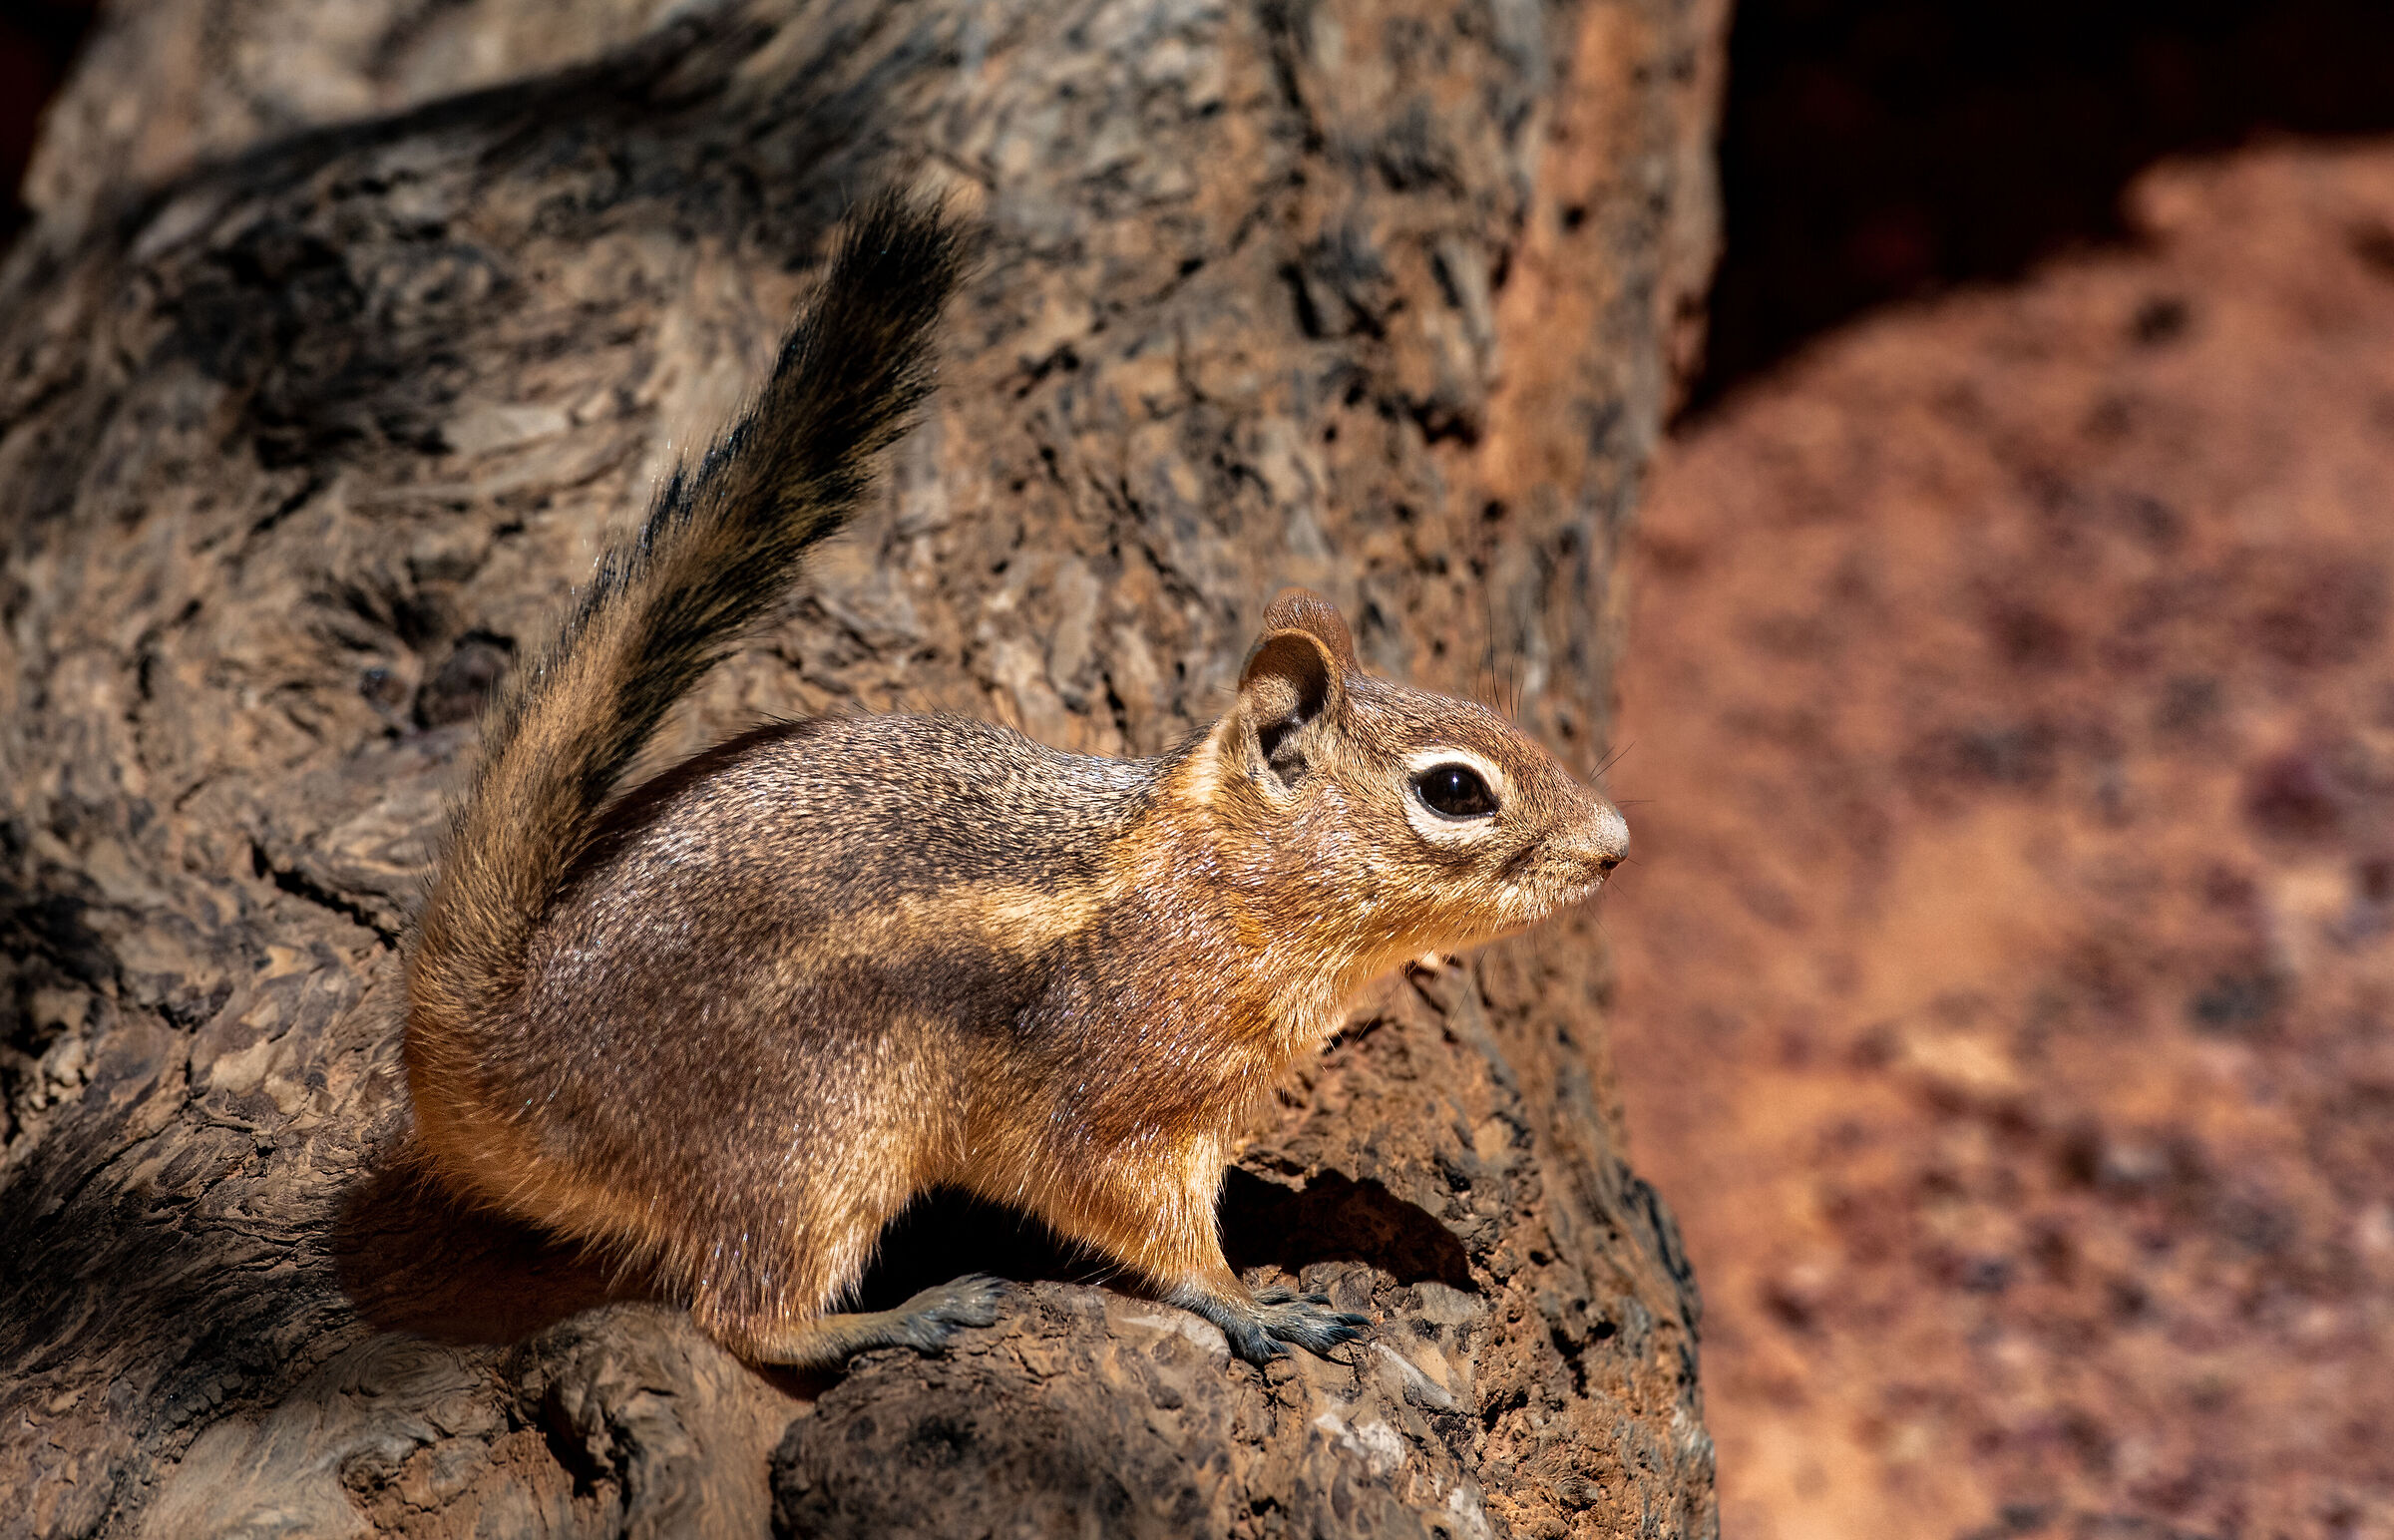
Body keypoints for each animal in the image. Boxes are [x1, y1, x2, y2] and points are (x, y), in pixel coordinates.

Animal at [400, 192, 1630, 1371]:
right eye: (1457, 790)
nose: (1615, 842)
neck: (1221, 888)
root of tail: (506, 1050)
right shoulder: (1121, 1094)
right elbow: (1126, 1203)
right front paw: (1246, 1302)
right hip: (817, 1139)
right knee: (743, 1309)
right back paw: (891, 1318)